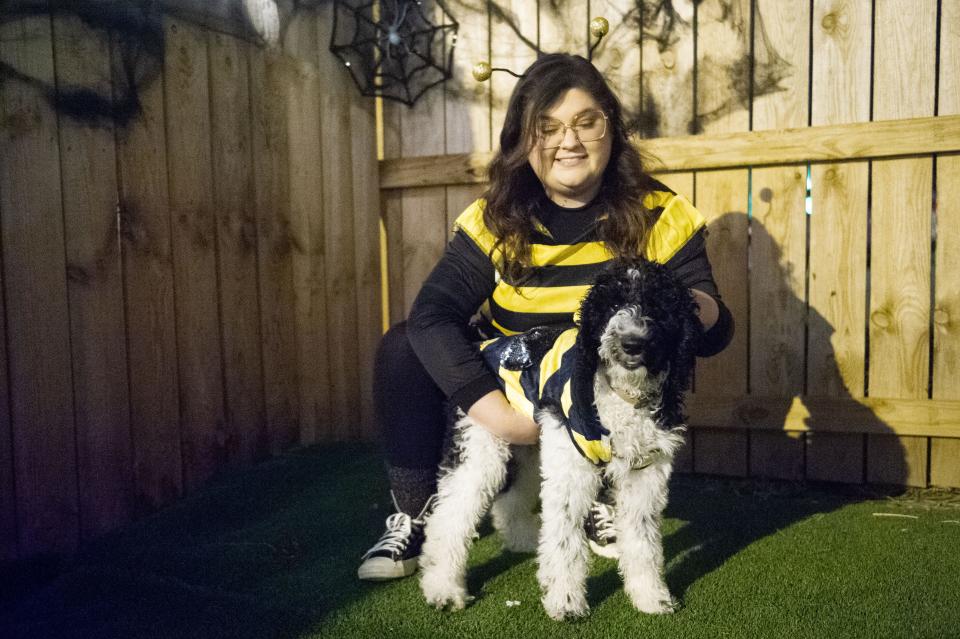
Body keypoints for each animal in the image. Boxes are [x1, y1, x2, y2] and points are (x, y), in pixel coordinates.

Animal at [416, 258, 700, 620]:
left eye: (659, 307)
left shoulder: (645, 475)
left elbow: (643, 541)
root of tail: (481, 343)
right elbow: (565, 540)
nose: (632, 343)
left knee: (509, 499)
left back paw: (523, 540)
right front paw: (566, 602)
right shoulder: (571, 469)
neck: (622, 396)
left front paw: (651, 597)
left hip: (526, 447)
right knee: (449, 517)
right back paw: (443, 588)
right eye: (612, 306)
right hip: (479, 444)